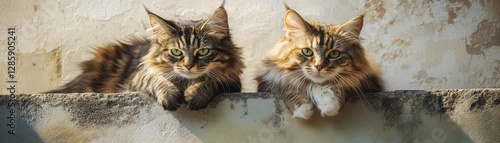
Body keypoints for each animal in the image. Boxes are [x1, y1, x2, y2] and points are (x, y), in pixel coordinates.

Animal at [47, 3, 244, 110]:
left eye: (203, 52)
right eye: (176, 52)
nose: (188, 66)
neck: (185, 82)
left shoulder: (232, 81)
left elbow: (211, 80)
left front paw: (194, 95)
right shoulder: (135, 79)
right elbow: (155, 79)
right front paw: (170, 94)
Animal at [256, 5, 384, 119]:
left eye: (334, 54)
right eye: (307, 51)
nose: (319, 66)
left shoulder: (367, 85)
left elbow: (342, 87)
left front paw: (329, 104)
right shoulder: (270, 82)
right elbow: (287, 88)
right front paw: (302, 108)